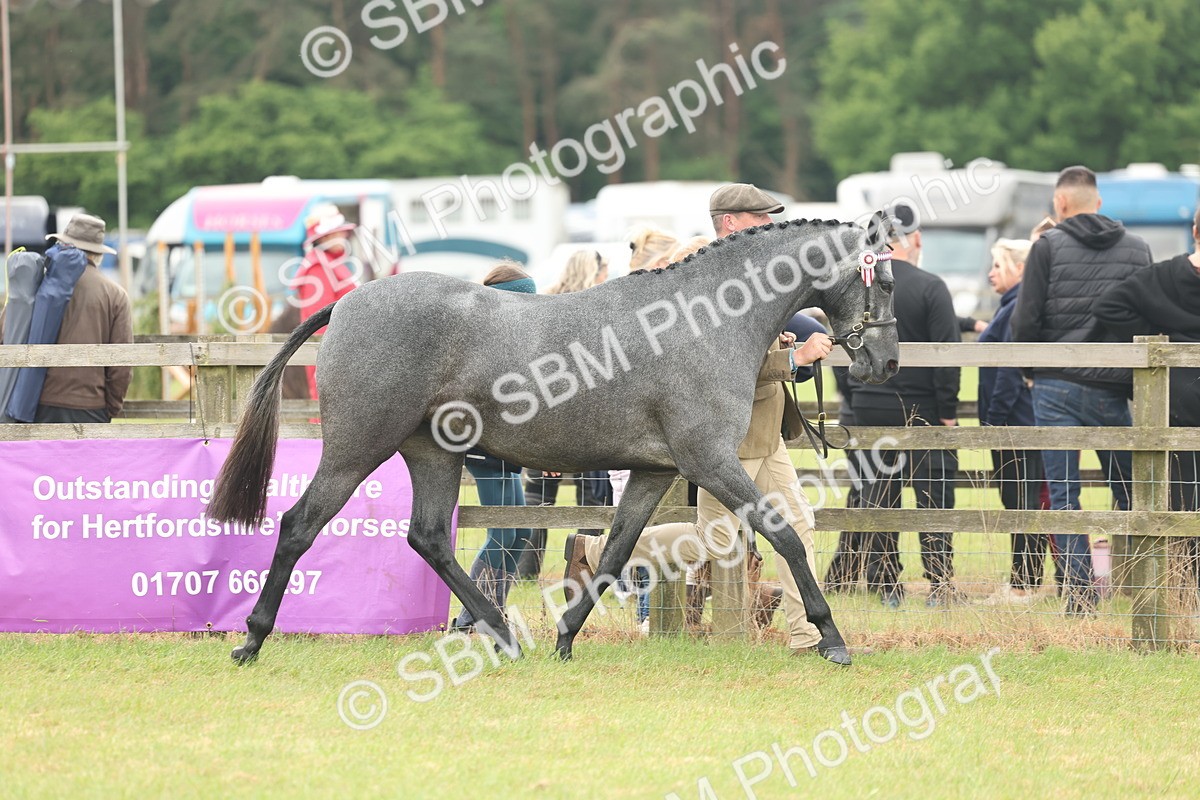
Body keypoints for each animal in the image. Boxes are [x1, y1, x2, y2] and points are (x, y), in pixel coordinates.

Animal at [209, 218, 900, 666]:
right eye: (887, 281)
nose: (886, 363)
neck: (702, 319)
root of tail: (349, 302)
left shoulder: (653, 471)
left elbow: (615, 551)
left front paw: (566, 637)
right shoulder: (709, 460)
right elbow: (785, 536)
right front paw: (833, 639)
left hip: (433, 454)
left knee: (429, 538)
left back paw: (504, 636)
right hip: (357, 448)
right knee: (299, 524)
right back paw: (251, 639)